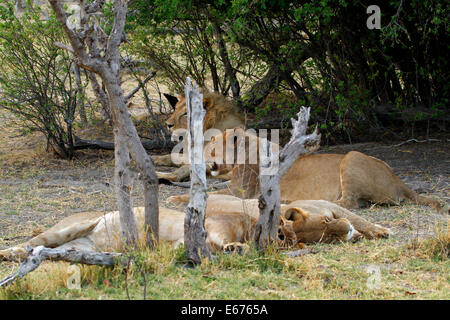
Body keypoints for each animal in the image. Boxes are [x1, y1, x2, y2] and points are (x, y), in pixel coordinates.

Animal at [168, 127, 440, 212]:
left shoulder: (240, 193)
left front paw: (174, 197)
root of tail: (399, 180)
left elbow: (211, 193)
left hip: (351, 158)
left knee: (349, 203)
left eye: (210, 148)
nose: (200, 160)